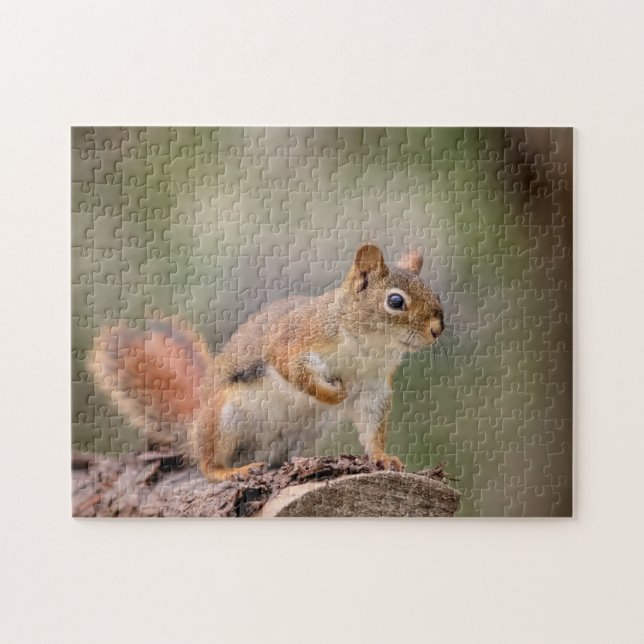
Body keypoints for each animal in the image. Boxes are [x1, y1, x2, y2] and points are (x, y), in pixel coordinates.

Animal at [89, 244, 444, 481]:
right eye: (395, 301)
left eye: (435, 294)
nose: (437, 329)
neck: (367, 347)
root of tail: (195, 424)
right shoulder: (293, 341)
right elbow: (295, 372)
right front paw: (332, 395)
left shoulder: (373, 387)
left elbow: (372, 426)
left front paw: (383, 458)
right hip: (224, 418)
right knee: (206, 461)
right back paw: (228, 471)